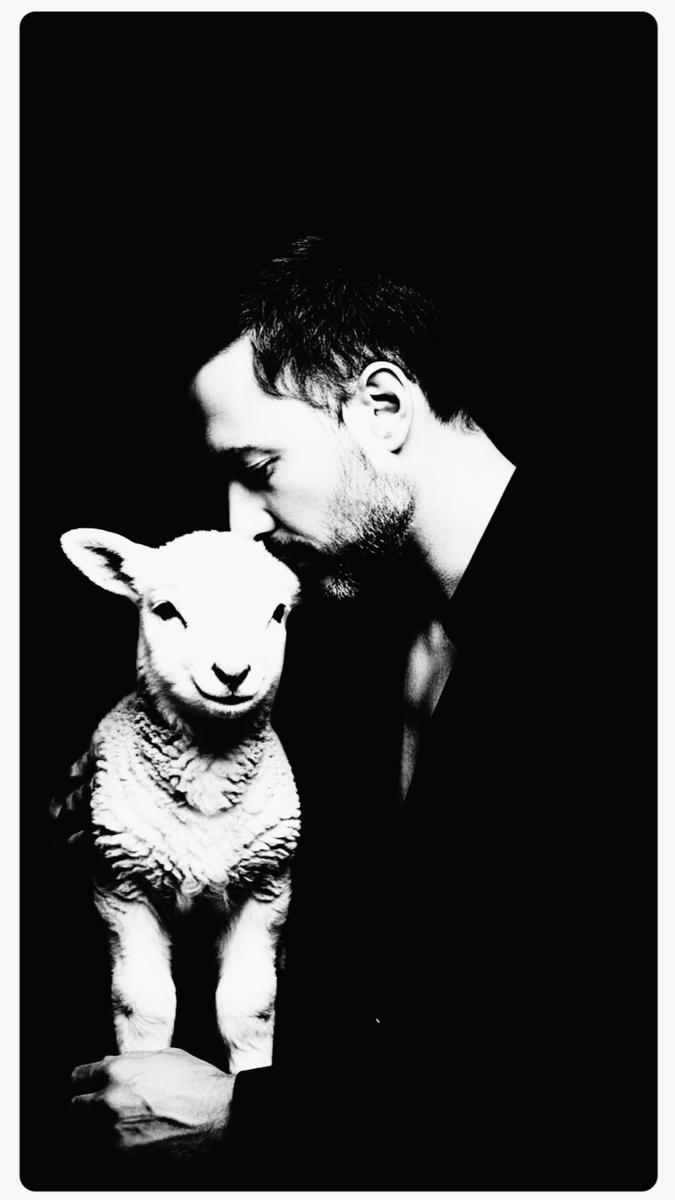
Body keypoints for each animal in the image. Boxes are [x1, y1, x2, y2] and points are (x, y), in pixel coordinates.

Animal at [59, 527, 301, 1074]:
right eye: (168, 611)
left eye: (277, 613)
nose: (232, 673)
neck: (209, 770)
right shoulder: (121, 884)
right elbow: (145, 1002)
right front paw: (145, 1066)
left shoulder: (267, 884)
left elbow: (248, 1004)